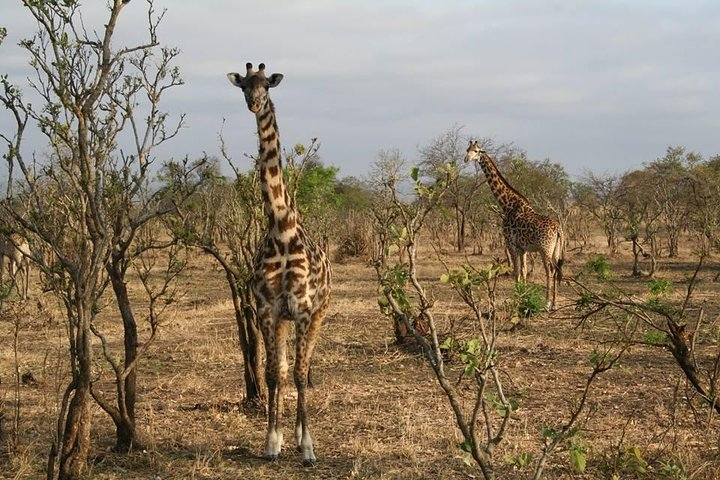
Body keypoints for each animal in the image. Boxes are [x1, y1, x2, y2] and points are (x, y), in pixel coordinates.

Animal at [227, 63, 331, 466]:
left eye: (266, 86)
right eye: (243, 85)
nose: (254, 103)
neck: (281, 226)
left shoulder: (302, 308)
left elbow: (301, 376)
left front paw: (308, 447)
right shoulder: (268, 308)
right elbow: (273, 375)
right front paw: (272, 441)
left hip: (319, 315)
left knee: (305, 368)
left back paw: (303, 436)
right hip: (285, 320)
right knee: (285, 370)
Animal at [464, 141, 564, 310]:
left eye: (477, 151)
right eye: (467, 149)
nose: (466, 159)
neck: (507, 205)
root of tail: (558, 230)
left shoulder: (510, 244)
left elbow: (516, 272)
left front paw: (516, 298)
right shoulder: (522, 248)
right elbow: (523, 271)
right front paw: (524, 296)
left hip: (545, 249)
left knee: (550, 270)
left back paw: (547, 303)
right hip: (556, 249)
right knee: (556, 270)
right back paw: (555, 303)